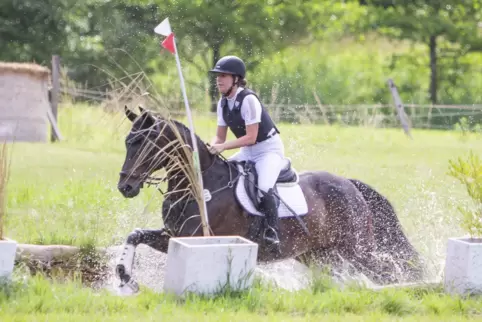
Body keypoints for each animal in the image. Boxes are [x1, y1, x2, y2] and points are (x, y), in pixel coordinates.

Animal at [115, 105, 424, 292]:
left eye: (143, 143)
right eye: (128, 142)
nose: (125, 187)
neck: (199, 186)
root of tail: (349, 184)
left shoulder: (198, 238)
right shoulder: (173, 236)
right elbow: (135, 235)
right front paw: (125, 277)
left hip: (357, 250)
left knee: (389, 269)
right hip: (318, 254)